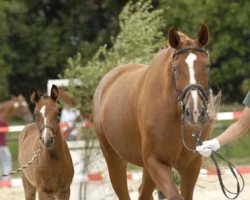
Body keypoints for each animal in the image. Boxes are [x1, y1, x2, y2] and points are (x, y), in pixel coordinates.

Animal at [93, 24, 213, 199]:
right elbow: (175, 196)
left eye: (207, 66)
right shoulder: (155, 162)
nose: (195, 112)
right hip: (115, 160)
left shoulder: (191, 166)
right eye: (175, 69)